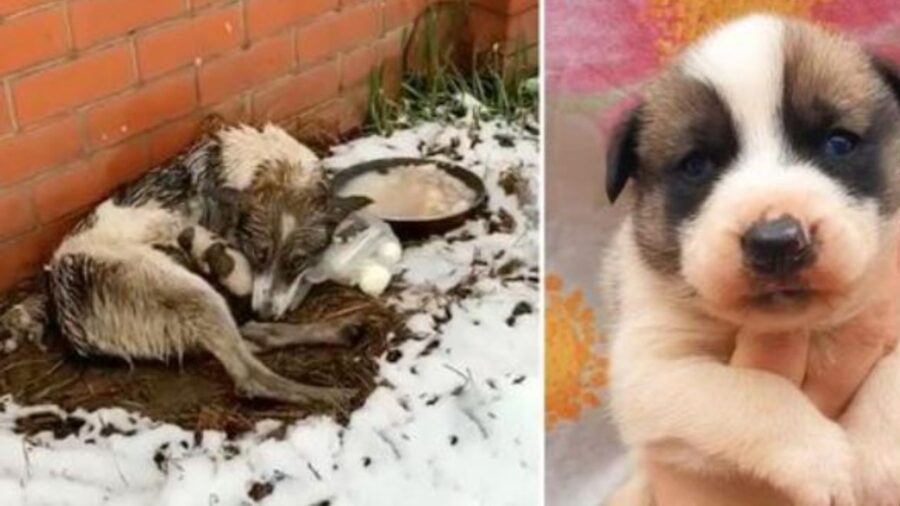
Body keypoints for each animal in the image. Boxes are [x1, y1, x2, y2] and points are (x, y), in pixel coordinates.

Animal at [604, 12, 900, 506]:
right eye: (696, 165)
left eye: (838, 143)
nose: (776, 241)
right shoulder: (651, 371)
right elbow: (753, 392)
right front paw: (823, 459)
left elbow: (892, 381)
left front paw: (874, 462)